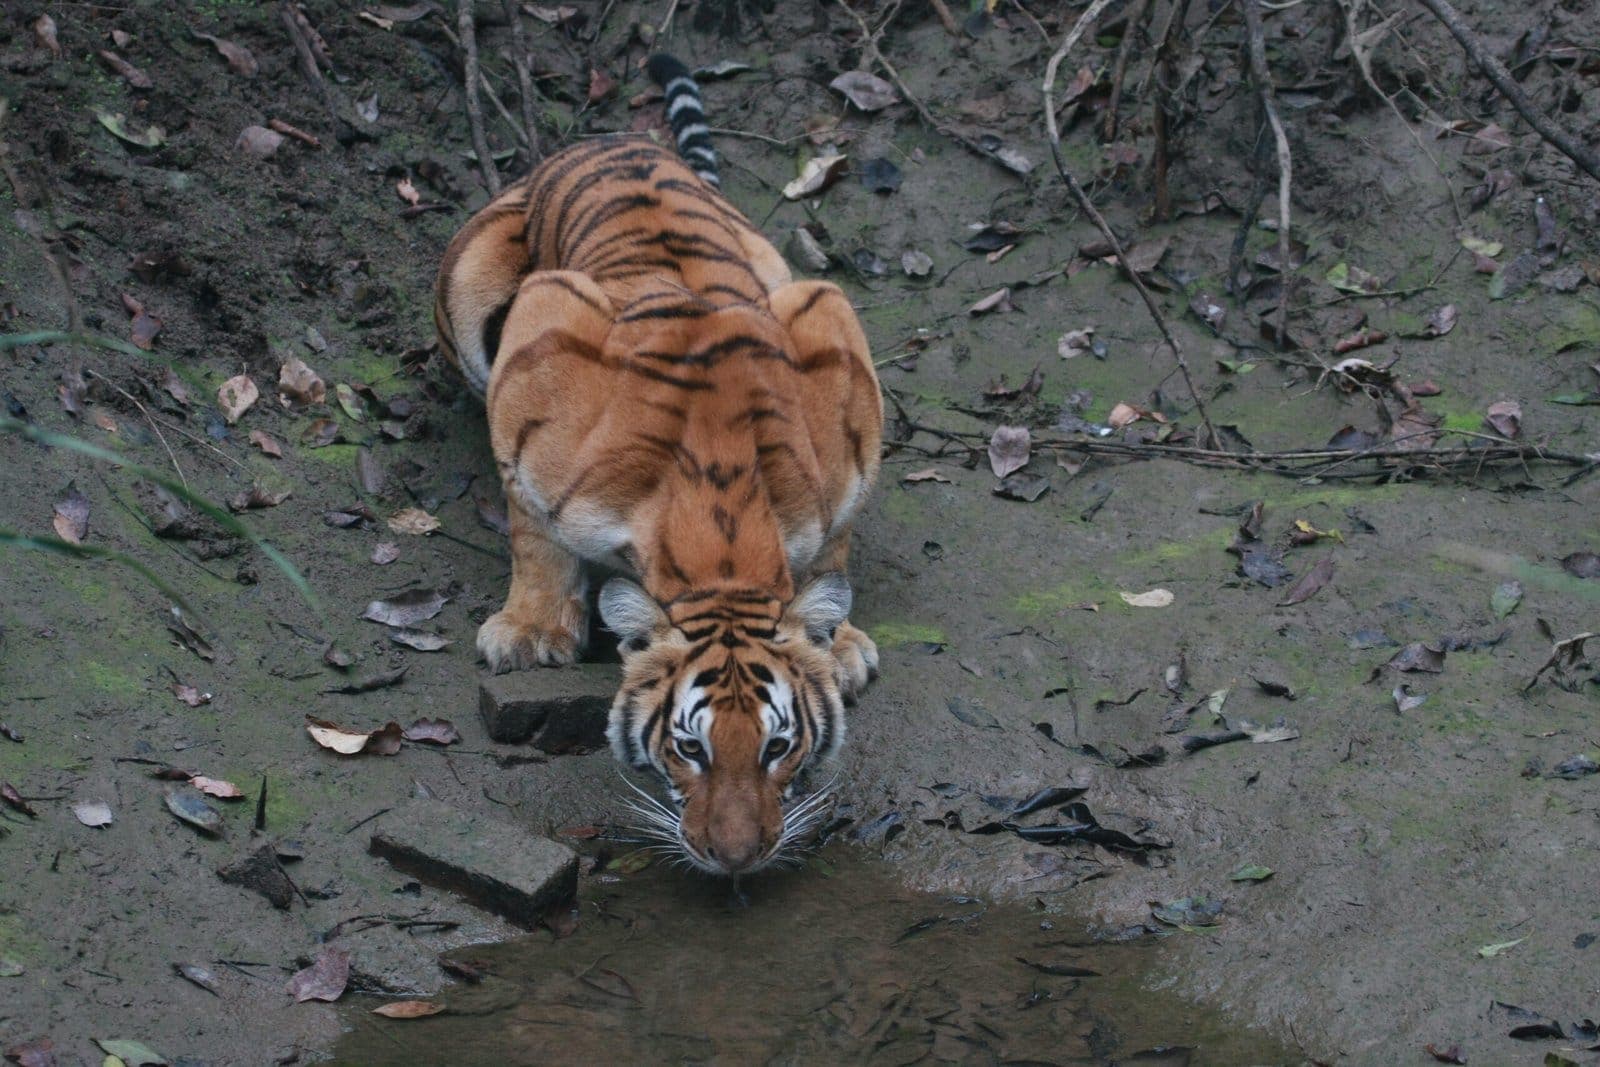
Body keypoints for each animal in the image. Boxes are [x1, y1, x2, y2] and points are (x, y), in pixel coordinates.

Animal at [433, 54, 883, 875]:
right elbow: (533, 528)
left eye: (778, 746)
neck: (722, 518)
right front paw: (532, 630)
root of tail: (613, 138)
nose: (736, 857)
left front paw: (833, 640)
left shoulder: (832, 337)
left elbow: (835, 539)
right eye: (689, 749)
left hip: (785, 273)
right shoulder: (539, 344)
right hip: (470, 285)